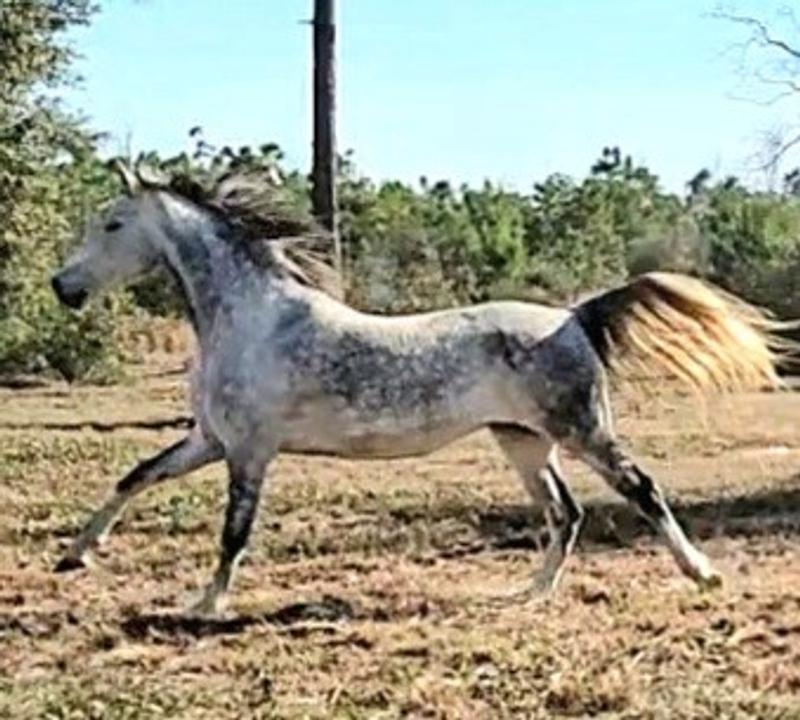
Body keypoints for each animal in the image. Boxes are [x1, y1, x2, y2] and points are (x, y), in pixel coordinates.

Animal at [50, 161, 787, 616]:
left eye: (113, 223)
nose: (63, 287)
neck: (251, 317)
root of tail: (575, 317)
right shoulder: (209, 439)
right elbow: (135, 476)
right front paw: (75, 555)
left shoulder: (250, 452)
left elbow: (234, 531)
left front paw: (206, 605)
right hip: (523, 442)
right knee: (566, 512)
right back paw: (528, 593)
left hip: (582, 430)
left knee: (641, 488)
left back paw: (701, 572)